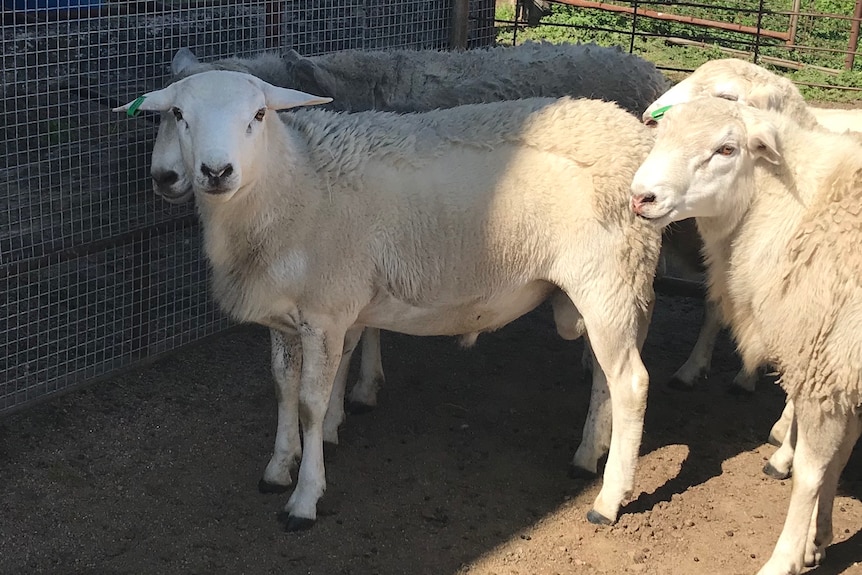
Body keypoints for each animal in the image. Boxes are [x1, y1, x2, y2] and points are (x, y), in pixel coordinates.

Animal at [116, 70, 660, 532]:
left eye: (259, 115)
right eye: (179, 114)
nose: (215, 171)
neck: (292, 183)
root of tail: (632, 135)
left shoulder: (327, 312)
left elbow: (311, 404)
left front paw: (304, 497)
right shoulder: (287, 317)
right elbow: (283, 390)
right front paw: (278, 467)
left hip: (608, 280)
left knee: (630, 383)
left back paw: (608, 500)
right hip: (611, 286)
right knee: (605, 376)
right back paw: (589, 454)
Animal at [632, 98, 862, 575]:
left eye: (726, 149)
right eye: (661, 133)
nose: (640, 196)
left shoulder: (826, 366)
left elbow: (812, 473)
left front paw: (786, 558)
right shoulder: (842, 372)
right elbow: (840, 454)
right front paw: (819, 539)